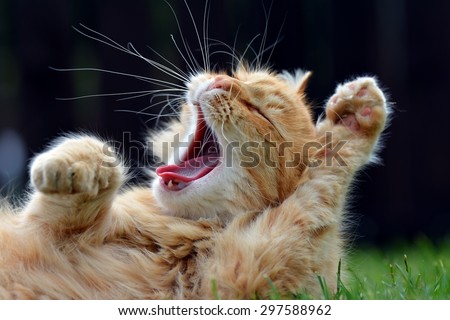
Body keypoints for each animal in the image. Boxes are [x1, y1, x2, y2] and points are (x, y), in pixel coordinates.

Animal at [0, 66, 386, 298]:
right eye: (231, 74)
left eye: (260, 111)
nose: (219, 81)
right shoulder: (44, 227)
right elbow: (95, 154)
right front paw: (74, 166)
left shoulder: (258, 272)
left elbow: (326, 185)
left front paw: (355, 120)